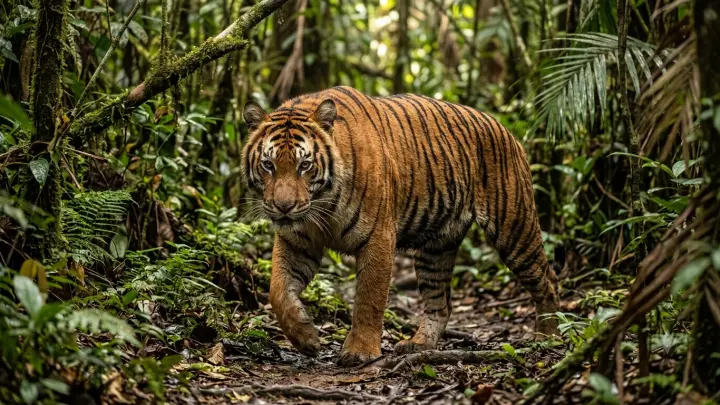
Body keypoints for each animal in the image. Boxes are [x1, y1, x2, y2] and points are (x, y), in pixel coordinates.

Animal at [241, 86, 560, 366]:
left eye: (304, 166)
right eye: (268, 165)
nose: (284, 207)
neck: (322, 206)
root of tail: (507, 129)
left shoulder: (378, 237)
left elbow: (369, 298)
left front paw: (360, 351)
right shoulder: (296, 241)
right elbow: (278, 291)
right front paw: (306, 337)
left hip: (515, 229)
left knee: (548, 279)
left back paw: (547, 336)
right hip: (436, 248)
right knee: (440, 303)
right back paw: (419, 344)